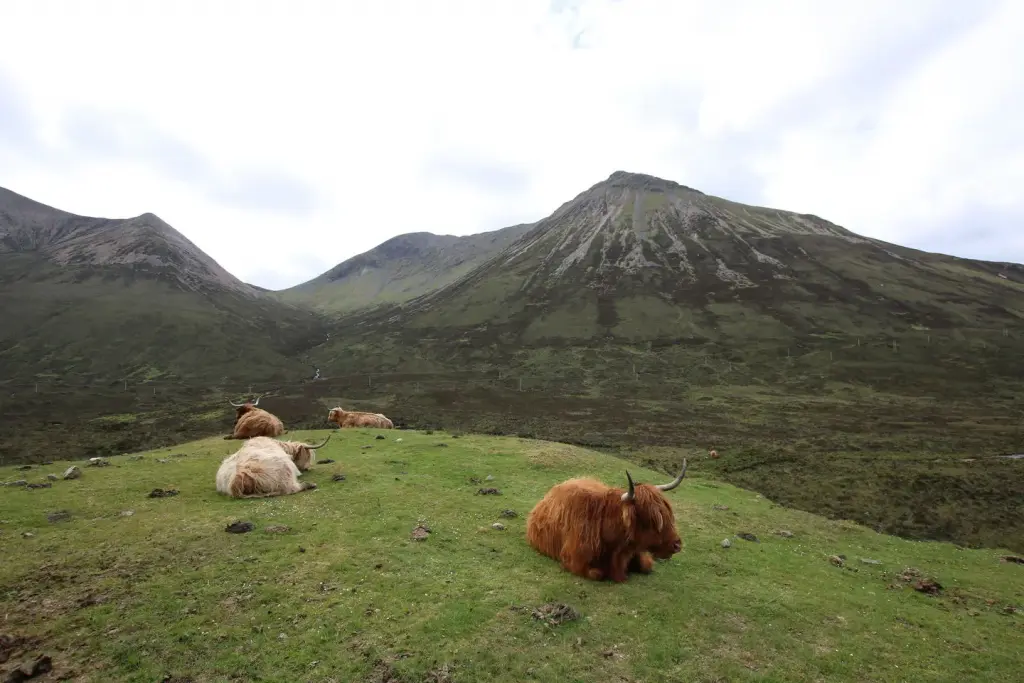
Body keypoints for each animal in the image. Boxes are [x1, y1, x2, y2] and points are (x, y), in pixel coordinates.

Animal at [525, 460, 689, 583]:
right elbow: (598, 574)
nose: (677, 544)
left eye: (668, 514)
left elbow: (646, 566)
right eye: (651, 519)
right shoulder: (574, 561)